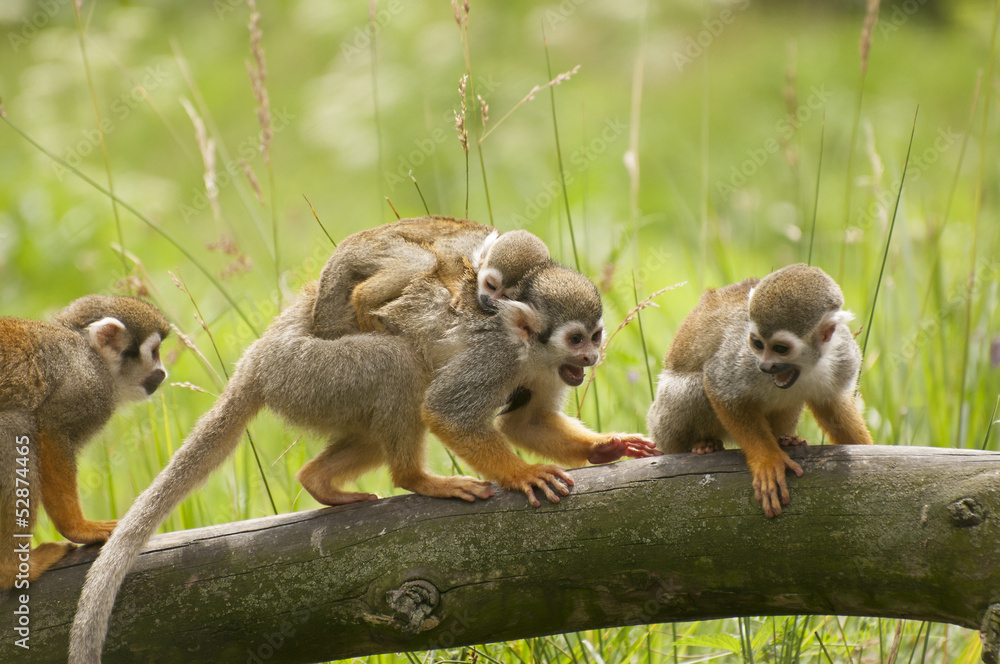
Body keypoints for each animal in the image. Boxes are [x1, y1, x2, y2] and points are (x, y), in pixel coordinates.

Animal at [0, 295, 169, 589]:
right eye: (155, 351)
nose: (163, 372)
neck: (90, 353)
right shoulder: (87, 387)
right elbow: (51, 430)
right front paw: (78, 528)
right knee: (14, 426)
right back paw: (13, 569)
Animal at [646, 263, 874, 518]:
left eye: (781, 348)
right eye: (757, 344)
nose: (764, 366)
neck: (809, 364)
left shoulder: (844, 355)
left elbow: (833, 406)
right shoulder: (743, 357)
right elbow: (719, 388)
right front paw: (768, 460)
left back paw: (787, 440)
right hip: (662, 422)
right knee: (694, 390)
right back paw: (701, 445)